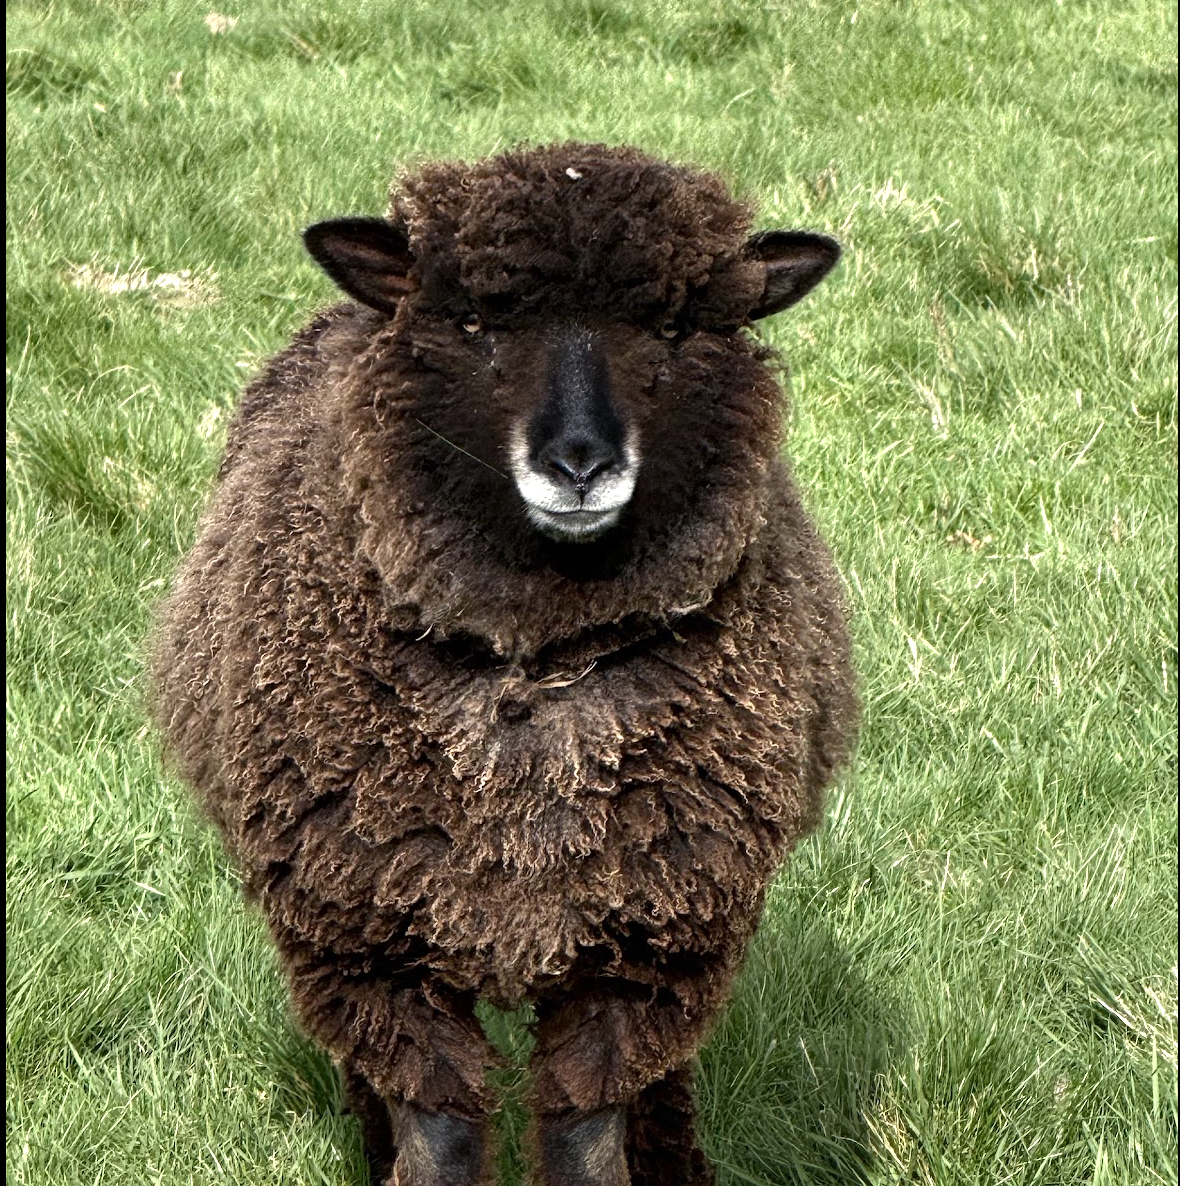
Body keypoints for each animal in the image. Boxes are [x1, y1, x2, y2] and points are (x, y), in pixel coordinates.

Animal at [149, 141, 858, 1186]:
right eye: (477, 324)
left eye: (672, 327)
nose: (579, 464)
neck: (536, 661)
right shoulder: (375, 941)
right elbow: (438, 1135)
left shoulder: (641, 941)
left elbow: (588, 1135)